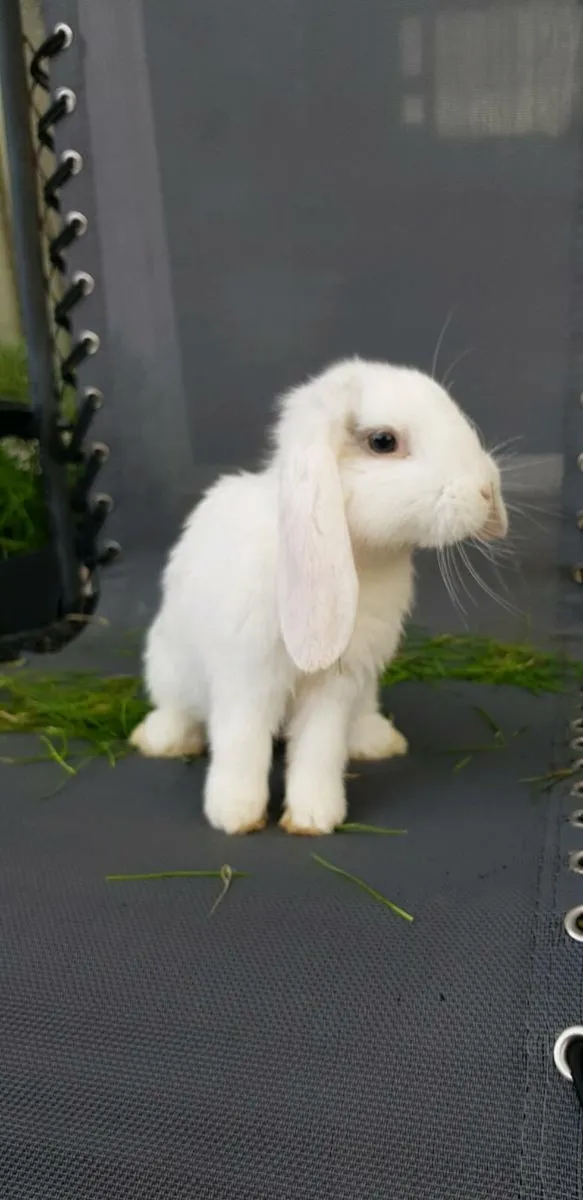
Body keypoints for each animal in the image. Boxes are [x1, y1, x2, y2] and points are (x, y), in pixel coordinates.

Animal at [130, 358, 508, 835]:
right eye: (383, 441)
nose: (485, 491)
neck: (362, 558)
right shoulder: (247, 677)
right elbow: (242, 743)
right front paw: (235, 815)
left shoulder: (337, 684)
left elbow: (319, 748)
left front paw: (313, 817)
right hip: (167, 666)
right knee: (176, 709)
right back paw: (162, 739)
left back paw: (376, 740)